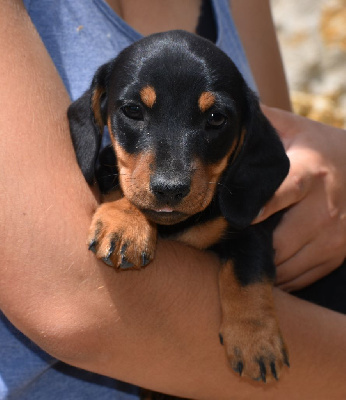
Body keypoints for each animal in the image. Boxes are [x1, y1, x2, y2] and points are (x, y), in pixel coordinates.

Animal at [67, 30, 290, 384]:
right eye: (132, 110)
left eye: (216, 118)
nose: (170, 189)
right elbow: (125, 188)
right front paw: (126, 222)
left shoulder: (252, 227)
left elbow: (246, 272)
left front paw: (256, 340)